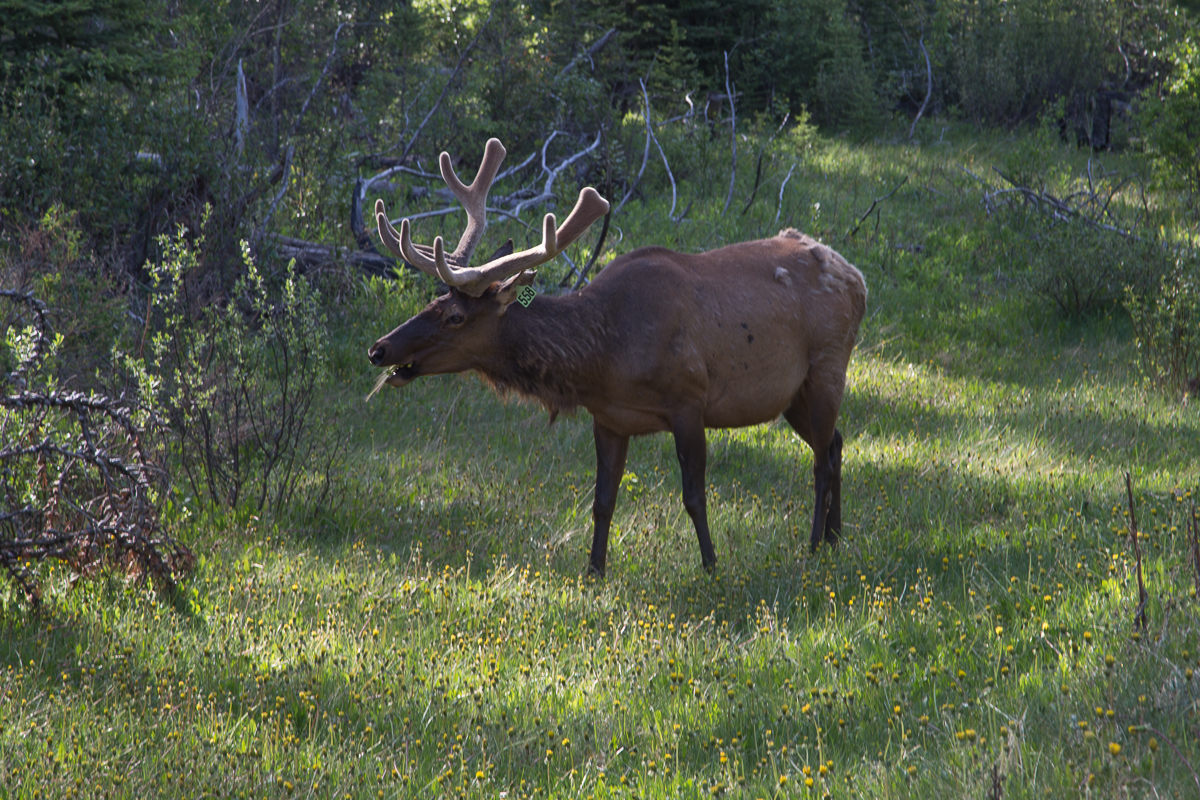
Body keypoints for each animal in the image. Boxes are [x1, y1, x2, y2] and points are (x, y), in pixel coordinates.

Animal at [364, 137, 864, 575]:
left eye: (455, 317)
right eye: (432, 301)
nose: (379, 348)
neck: (601, 357)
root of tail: (857, 277)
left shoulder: (689, 399)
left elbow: (694, 495)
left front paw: (710, 566)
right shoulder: (607, 418)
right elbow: (602, 501)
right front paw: (594, 571)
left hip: (827, 364)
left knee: (821, 460)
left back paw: (814, 546)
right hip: (791, 394)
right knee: (836, 443)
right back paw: (836, 538)